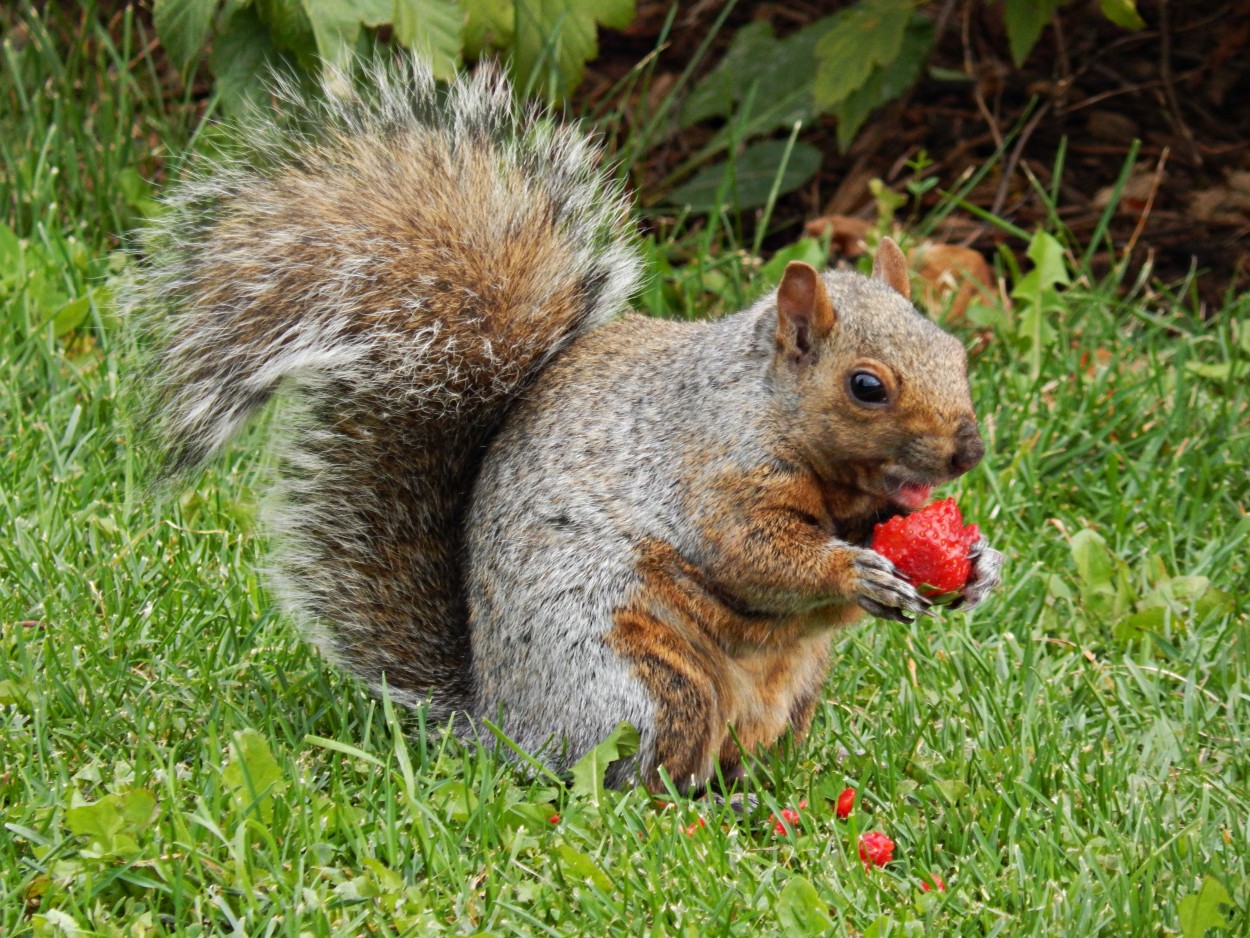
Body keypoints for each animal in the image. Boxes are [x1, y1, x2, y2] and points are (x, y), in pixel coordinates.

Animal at [129, 56, 1005, 795]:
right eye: (867, 387)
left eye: (956, 349)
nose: (968, 449)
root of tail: (499, 726)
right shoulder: (713, 471)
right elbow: (756, 555)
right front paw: (853, 571)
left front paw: (977, 568)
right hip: (638, 680)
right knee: (638, 775)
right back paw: (694, 806)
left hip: (790, 691)